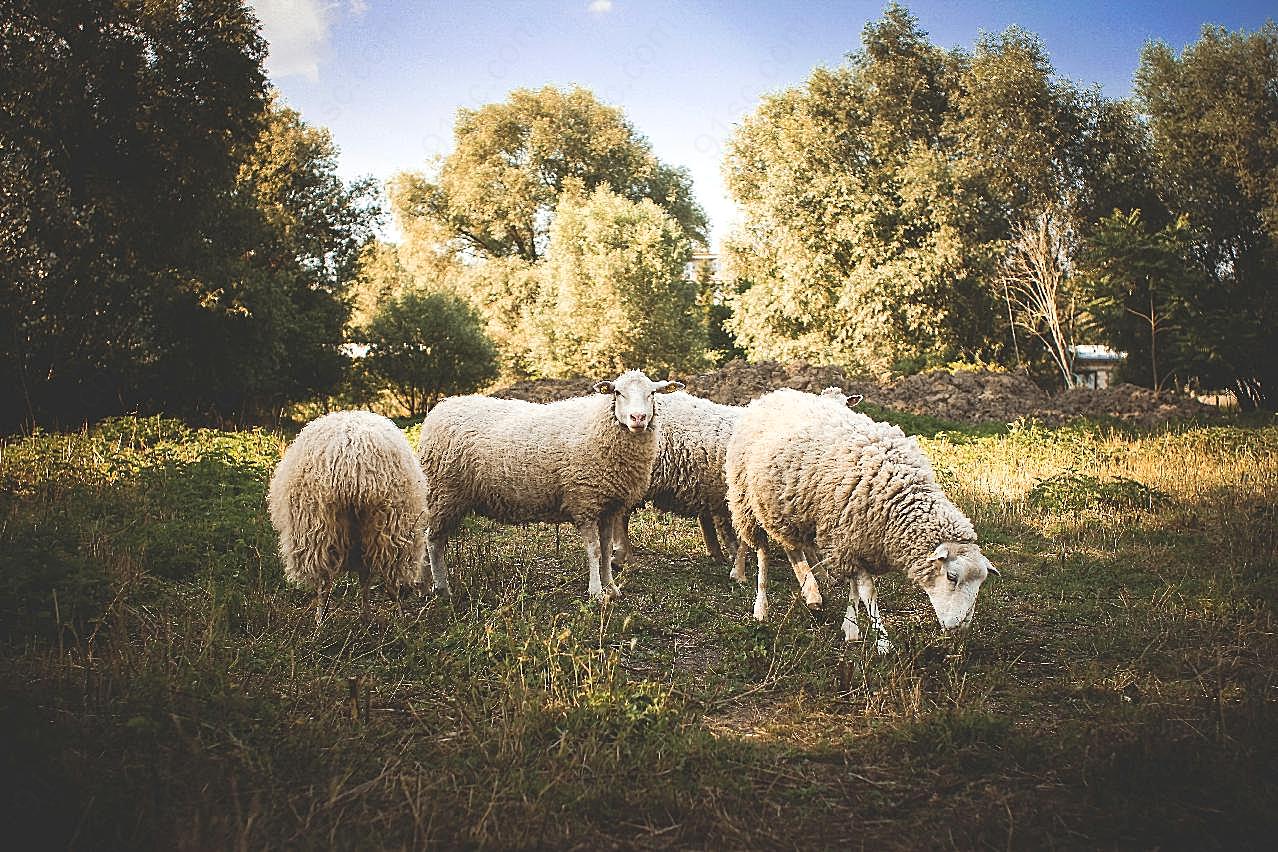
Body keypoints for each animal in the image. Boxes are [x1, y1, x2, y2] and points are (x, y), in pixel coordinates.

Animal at [268, 408, 429, 623]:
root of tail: (352, 461)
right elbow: (365, 577)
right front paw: (366, 615)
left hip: (321, 528)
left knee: (325, 583)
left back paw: (322, 621)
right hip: (388, 525)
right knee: (389, 579)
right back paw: (397, 618)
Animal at [419, 370, 685, 602]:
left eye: (652, 393)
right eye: (617, 393)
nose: (638, 418)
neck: (601, 426)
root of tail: (441, 408)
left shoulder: (610, 506)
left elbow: (607, 549)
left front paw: (611, 587)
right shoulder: (585, 502)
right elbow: (594, 550)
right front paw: (596, 592)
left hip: (447, 496)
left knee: (428, 539)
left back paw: (425, 586)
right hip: (444, 493)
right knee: (432, 540)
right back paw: (442, 588)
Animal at [731, 388, 996, 654]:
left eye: (981, 583)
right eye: (952, 577)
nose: (959, 629)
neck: (898, 494)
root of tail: (772, 395)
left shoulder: (856, 541)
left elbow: (854, 589)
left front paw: (850, 627)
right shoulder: (844, 539)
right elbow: (868, 592)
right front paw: (882, 642)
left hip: (785, 509)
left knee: (792, 549)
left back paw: (812, 594)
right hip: (748, 502)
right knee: (763, 553)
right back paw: (762, 606)